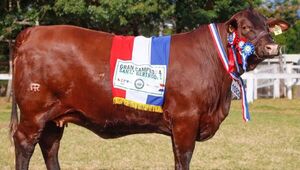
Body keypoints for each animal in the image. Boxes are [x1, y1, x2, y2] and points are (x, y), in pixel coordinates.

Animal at [10, 8, 290, 170]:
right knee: (25, 143)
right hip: (34, 111)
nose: (272, 47)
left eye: (268, 26)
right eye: (245, 27)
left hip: (53, 116)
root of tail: (32, 31)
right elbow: (183, 158)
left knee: (50, 146)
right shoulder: (185, 120)